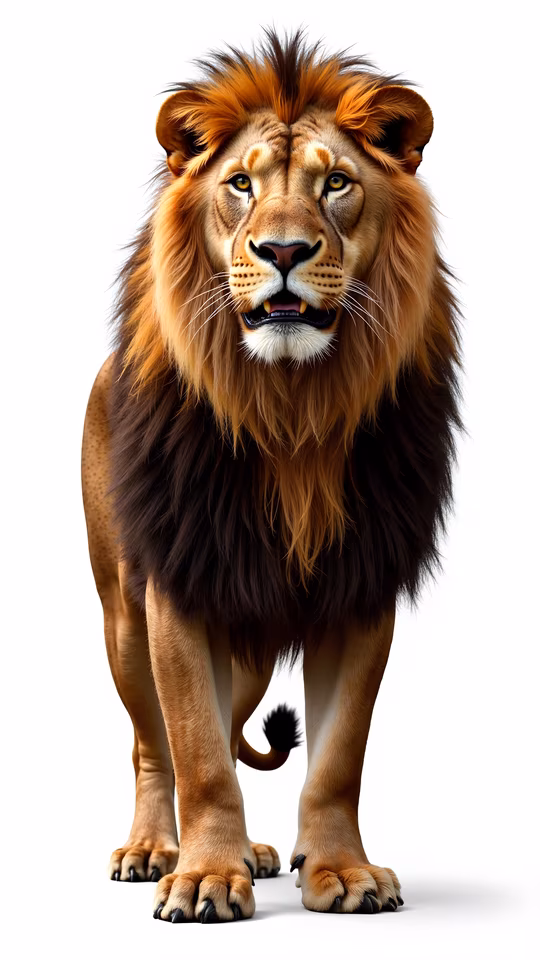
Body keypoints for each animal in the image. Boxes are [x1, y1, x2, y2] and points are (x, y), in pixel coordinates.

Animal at [82, 29, 460, 923]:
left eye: (336, 183)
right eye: (241, 184)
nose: (283, 251)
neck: (291, 408)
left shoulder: (363, 586)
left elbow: (336, 759)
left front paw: (341, 872)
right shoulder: (178, 584)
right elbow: (195, 748)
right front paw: (203, 880)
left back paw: (250, 852)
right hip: (123, 617)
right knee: (155, 744)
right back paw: (157, 850)